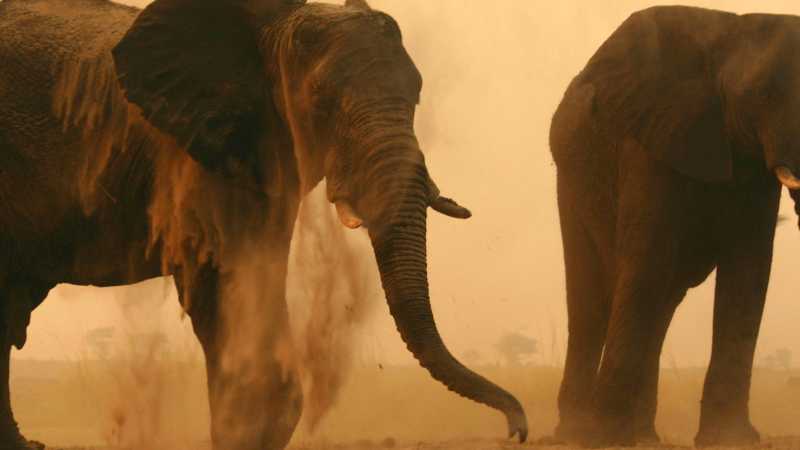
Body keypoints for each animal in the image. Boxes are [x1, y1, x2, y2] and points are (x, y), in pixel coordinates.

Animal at [0, 0, 528, 449]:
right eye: (321, 99)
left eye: (417, 96)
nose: (516, 430)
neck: (275, 25)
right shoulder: (202, 153)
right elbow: (226, 288)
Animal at [549, 5, 800, 448]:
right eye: (763, 95)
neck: (732, 30)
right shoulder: (652, 137)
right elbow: (646, 260)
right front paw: (606, 437)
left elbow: (749, 272)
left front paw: (731, 438)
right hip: (572, 178)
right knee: (594, 299)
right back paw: (577, 433)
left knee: (660, 303)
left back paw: (645, 437)